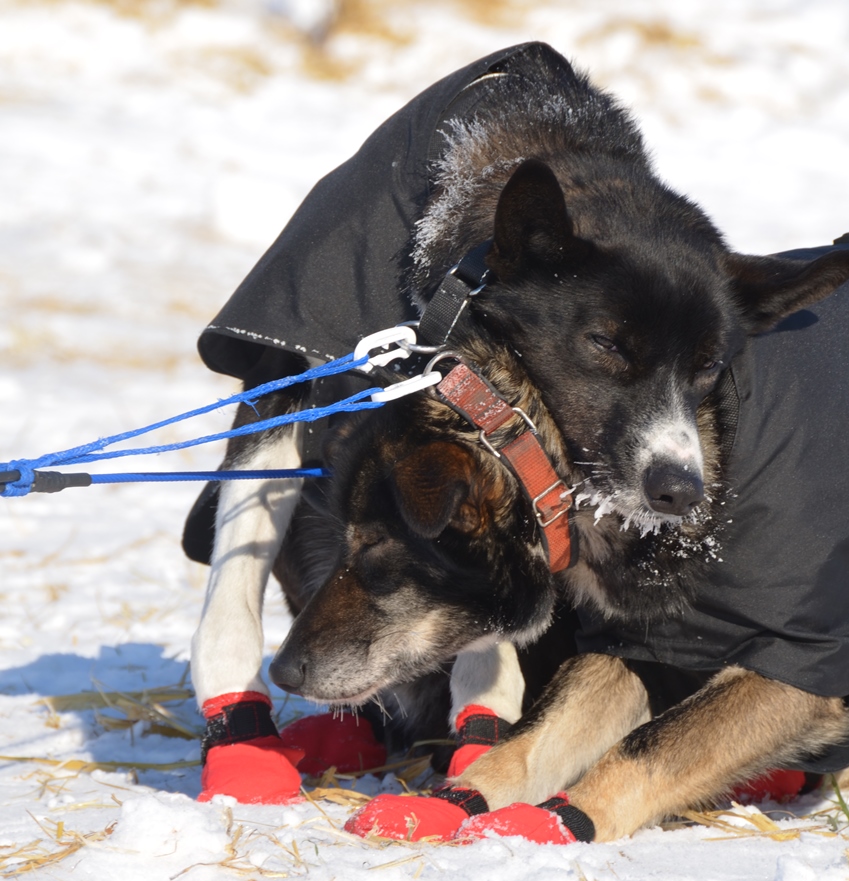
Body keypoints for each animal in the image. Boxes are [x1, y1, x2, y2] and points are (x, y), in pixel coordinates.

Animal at [184, 42, 849, 833]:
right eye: (604, 343)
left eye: (712, 366)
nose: (681, 489)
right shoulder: (284, 375)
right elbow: (231, 599)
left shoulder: (796, 659)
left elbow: (640, 744)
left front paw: (539, 811)